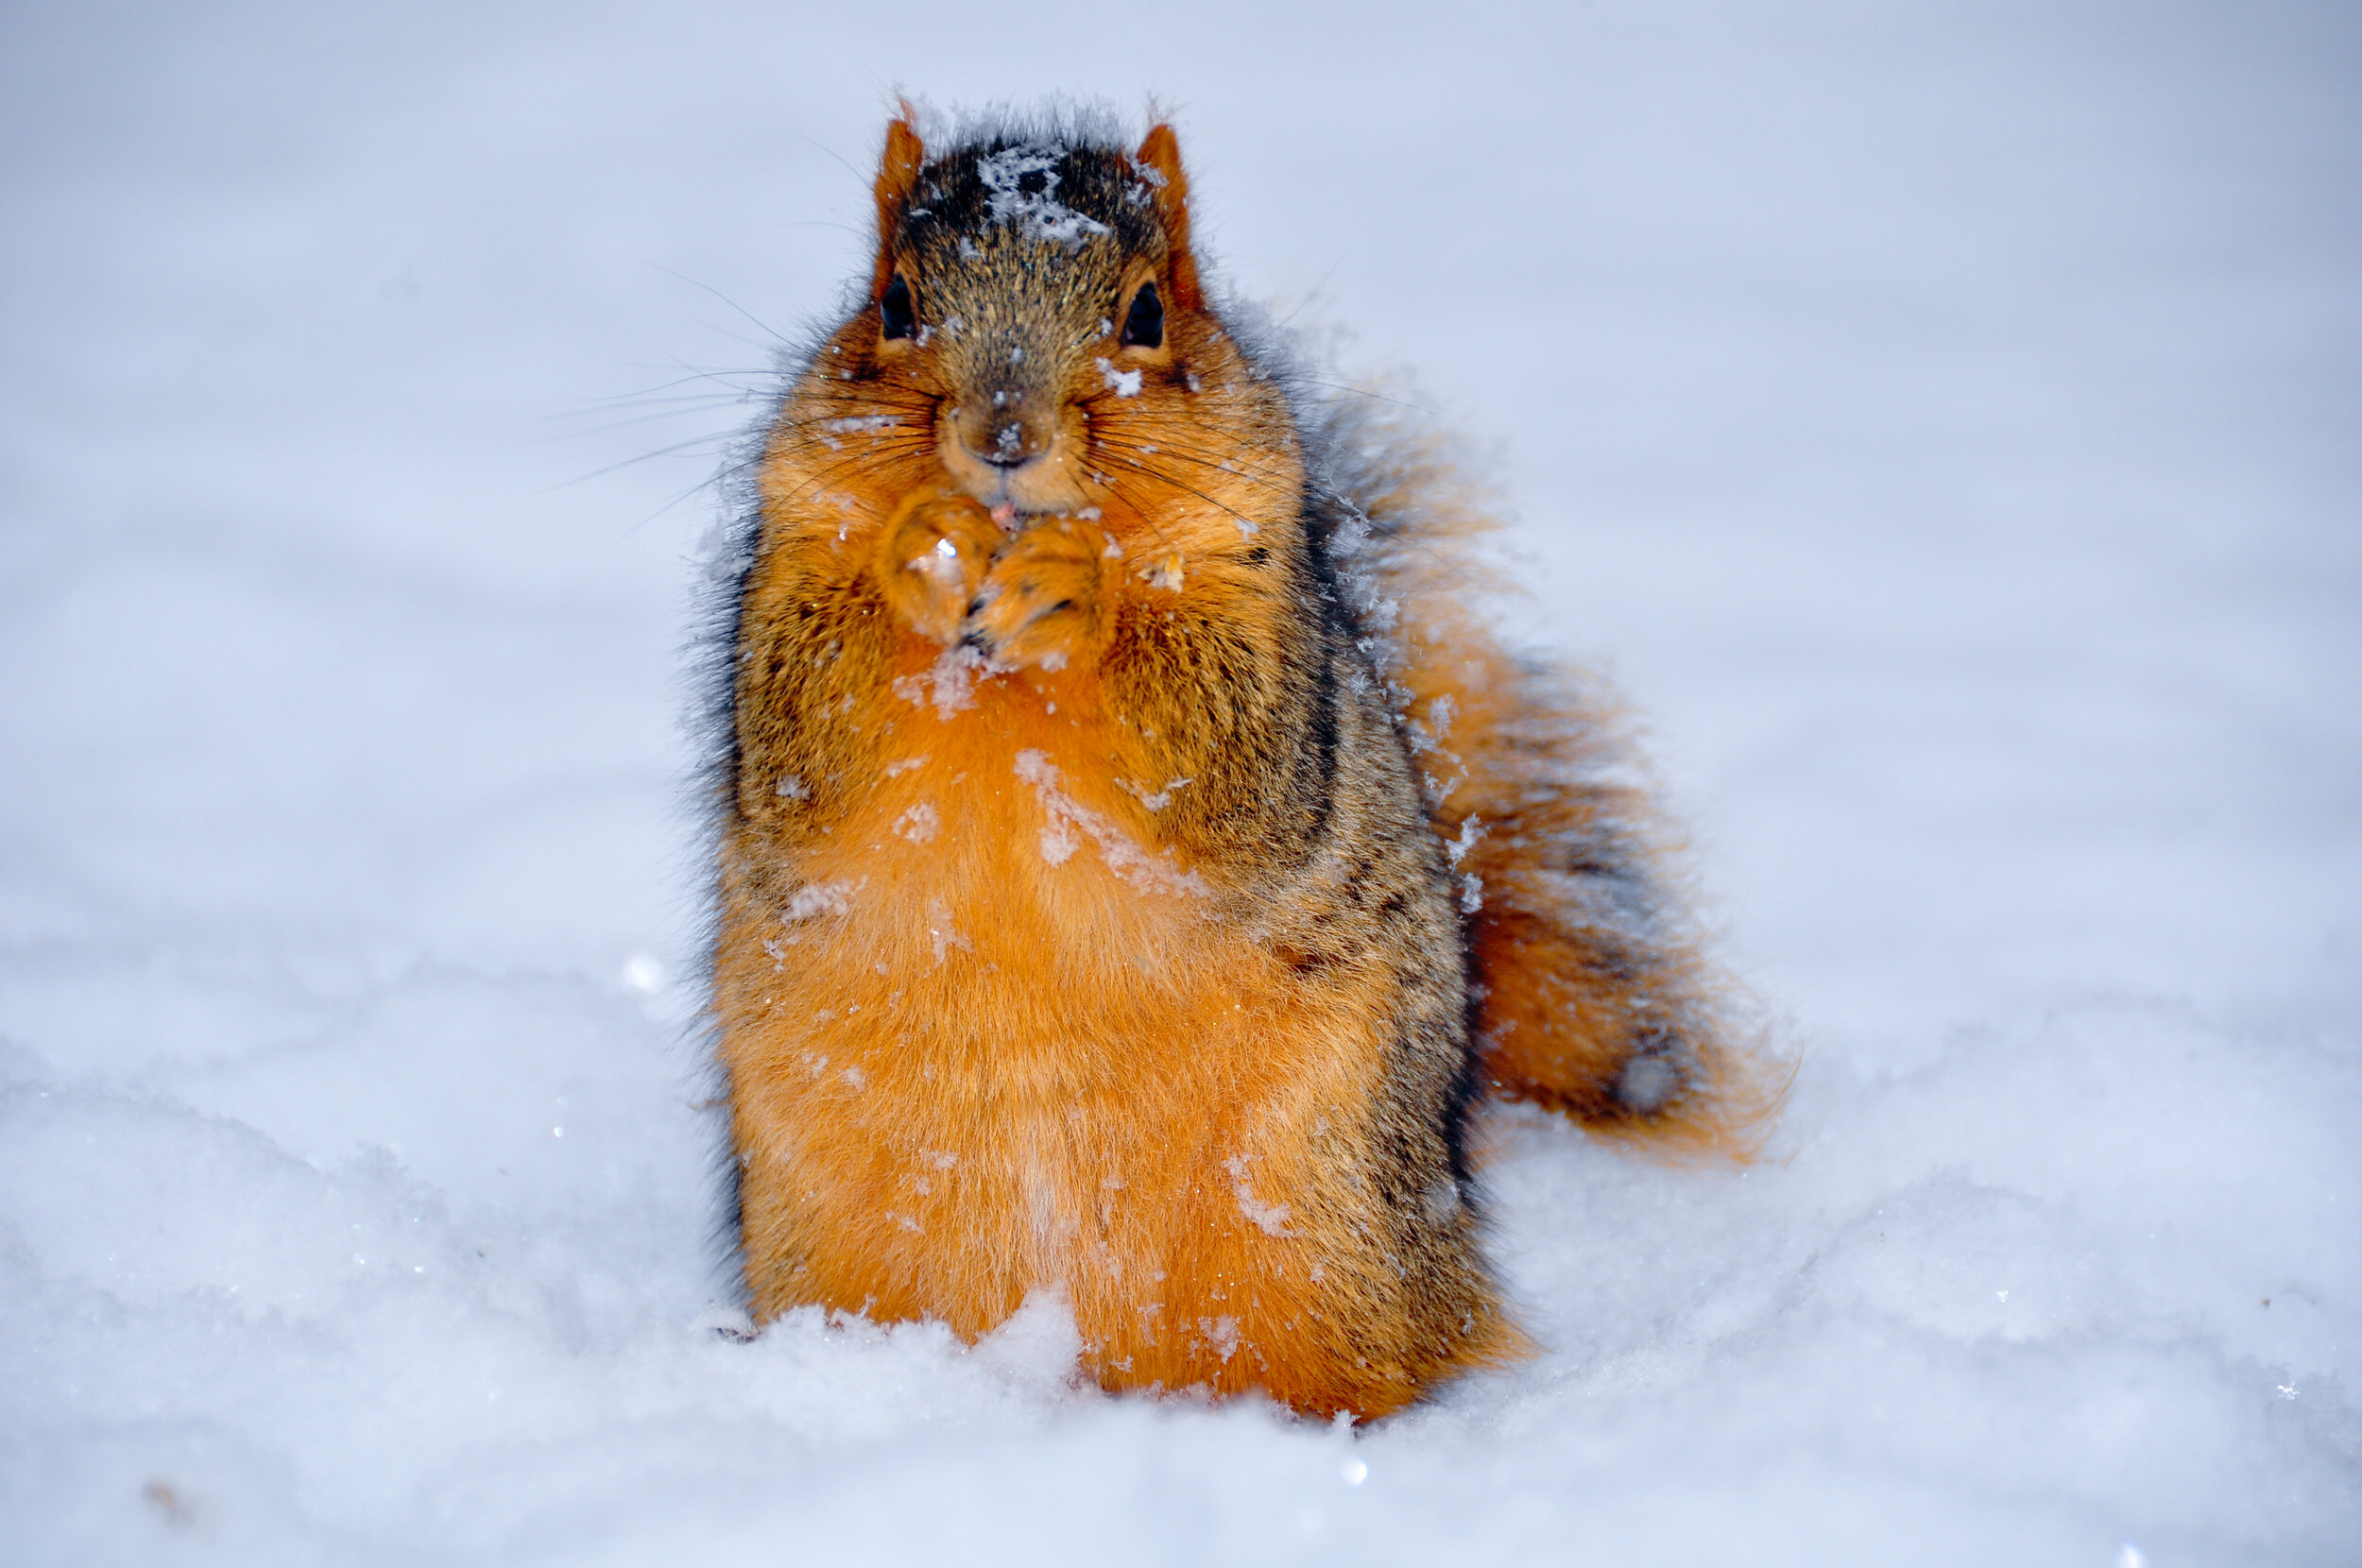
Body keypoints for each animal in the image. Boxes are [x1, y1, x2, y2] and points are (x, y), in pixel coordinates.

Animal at [702, 107, 1780, 1421]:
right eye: (894, 302)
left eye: (1146, 313)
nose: (1002, 438)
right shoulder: (789, 558)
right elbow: (803, 736)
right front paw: (926, 546)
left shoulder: (1256, 598)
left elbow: (1230, 748)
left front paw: (1075, 588)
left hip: (1319, 1210)